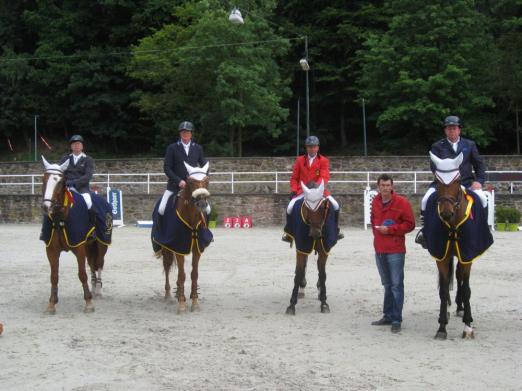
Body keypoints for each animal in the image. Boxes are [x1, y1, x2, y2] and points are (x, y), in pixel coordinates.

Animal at [41, 158, 109, 314]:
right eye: (43, 179)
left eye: (60, 182)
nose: (46, 207)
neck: (60, 218)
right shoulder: (51, 250)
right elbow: (54, 276)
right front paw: (51, 304)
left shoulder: (79, 248)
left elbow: (82, 274)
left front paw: (88, 303)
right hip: (90, 246)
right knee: (92, 265)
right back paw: (94, 287)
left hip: (102, 243)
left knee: (99, 263)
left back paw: (98, 289)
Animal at [154, 162, 211, 312]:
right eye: (191, 182)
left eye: (207, 181)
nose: (202, 204)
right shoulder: (178, 247)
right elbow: (182, 274)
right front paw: (181, 304)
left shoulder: (197, 248)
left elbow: (194, 274)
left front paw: (195, 301)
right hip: (166, 247)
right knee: (167, 266)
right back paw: (168, 294)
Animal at [282, 181, 336, 316]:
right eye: (307, 208)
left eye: (322, 207)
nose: (315, 233)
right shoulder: (301, 247)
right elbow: (298, 272)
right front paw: (292, 305)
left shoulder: (324, 250)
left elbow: (322, 274)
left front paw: (324, 302)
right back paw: (302, 287)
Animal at [424, 152, 490, 340]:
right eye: (437, 180)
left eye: (457, 179)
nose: (446, 213)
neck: (453, 224)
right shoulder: (441, 255)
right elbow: (443, 288)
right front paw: (441, 327)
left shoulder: (468, 255)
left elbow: (466, 288)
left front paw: (468, 326)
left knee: (460, 278)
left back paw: (461, 308)